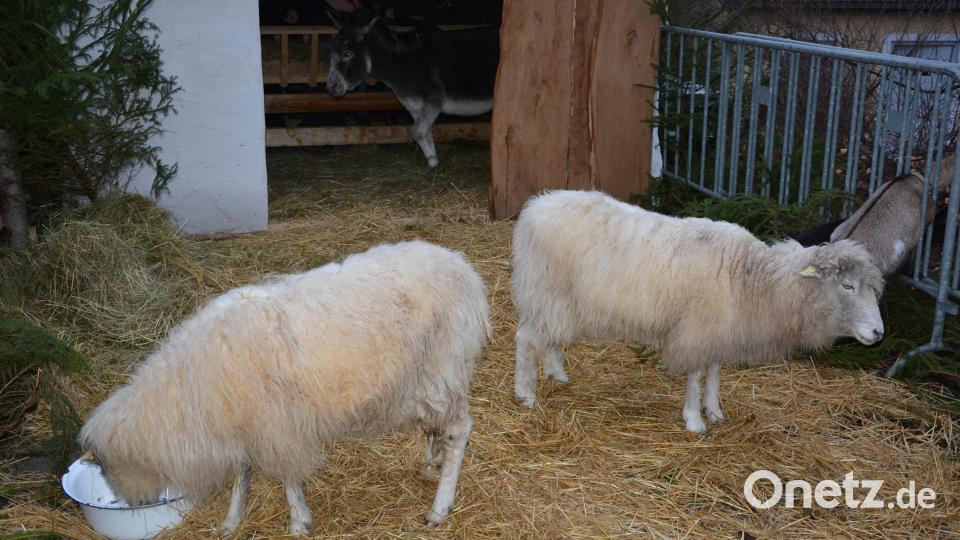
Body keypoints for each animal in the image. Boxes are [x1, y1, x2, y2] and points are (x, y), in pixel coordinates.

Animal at [79, 240, 490, 535]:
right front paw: (231, 520)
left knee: (458, 429)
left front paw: (298, 522)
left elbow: (287, 478)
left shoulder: (275, 425)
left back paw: (439, 506)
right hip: (426, 376)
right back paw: (431, 462)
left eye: (104, 461)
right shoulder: (247, 422)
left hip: (443, 365)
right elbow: (241, 473)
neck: (188, 386)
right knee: (435, 424)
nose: (125, 500)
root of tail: (464, 269)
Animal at [512, 190, 884, 434]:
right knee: (526, 338)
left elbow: (714, 370)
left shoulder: (719, 328)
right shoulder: (696, 328)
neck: (751, 278)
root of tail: (535, 206)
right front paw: (694, 419)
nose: (879, 333)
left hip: (560, 299)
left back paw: (557, 373)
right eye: (847, 286)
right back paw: (525, 393)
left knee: (549, 337)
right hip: (544, 289)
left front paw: (714, 410)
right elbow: (695, 374)